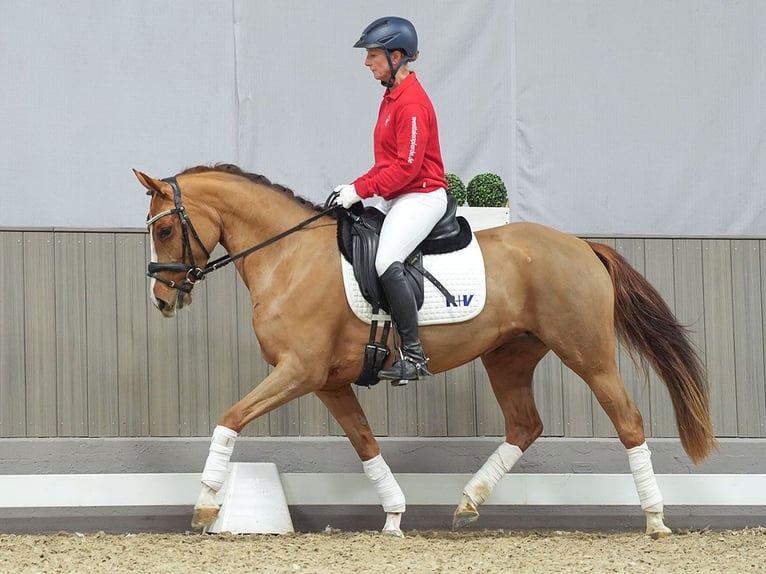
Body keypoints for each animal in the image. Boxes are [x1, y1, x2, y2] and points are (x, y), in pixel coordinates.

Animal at [135, 163, 716, 540]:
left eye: (163, 230)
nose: (162, 299)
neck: (288, 255)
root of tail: (582, 246)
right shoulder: (328, 381)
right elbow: (365, 443)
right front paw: (394, 516)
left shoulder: (299, 371)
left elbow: (230, 417)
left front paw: (206, 505)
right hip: (508, 356)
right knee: (525, 425)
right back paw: (467, 502)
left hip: (587, 353)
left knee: (628, 420)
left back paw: (656, 519)